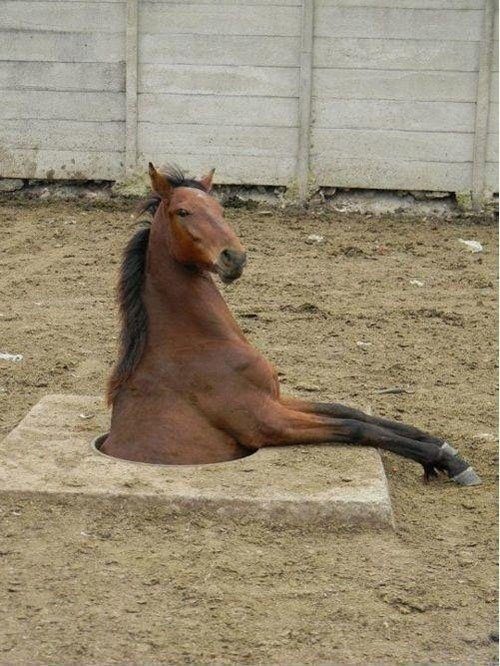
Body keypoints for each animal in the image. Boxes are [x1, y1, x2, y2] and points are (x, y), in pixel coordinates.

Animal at [101, 162, 481, 486]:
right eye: (182, 212)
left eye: (221, 210)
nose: (234, 257)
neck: (195, 344)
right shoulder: (267, 423)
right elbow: (353, 427)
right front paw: (446, 461)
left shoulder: (275, 398)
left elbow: (348, 410)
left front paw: (441, 444)